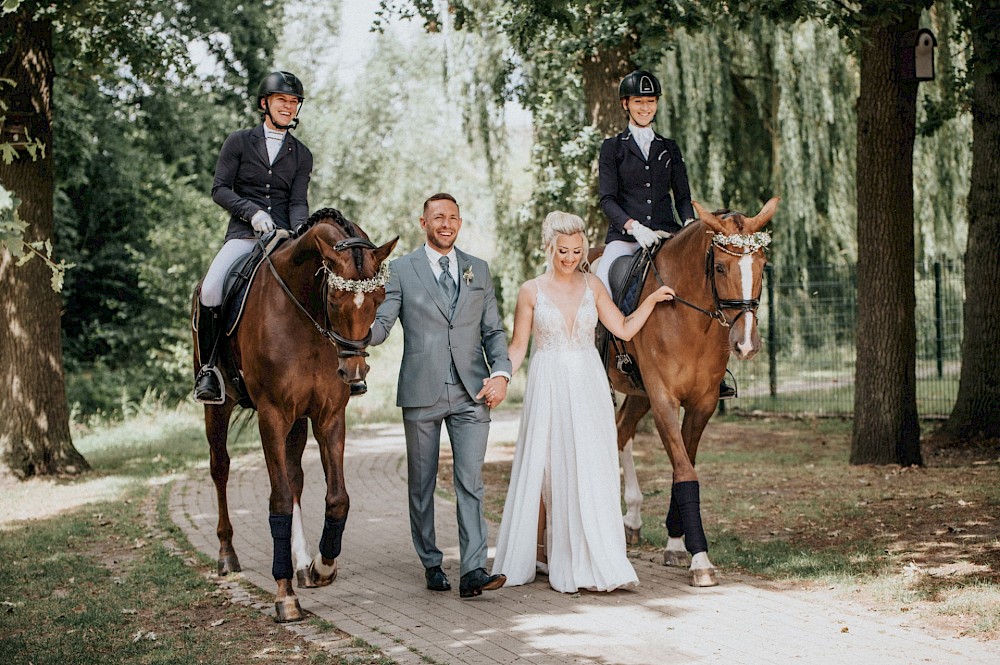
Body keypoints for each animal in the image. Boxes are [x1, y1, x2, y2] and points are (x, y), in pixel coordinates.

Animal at [193, 210, 396, 620]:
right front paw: (284, 595)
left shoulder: (329, 415)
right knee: (220, 468)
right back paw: (227, 554)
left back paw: (301, 563)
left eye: (379, 297)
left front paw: (322, 566)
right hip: (218, 407)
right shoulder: (272, 415)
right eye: (334, 296)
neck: (304, 313)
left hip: (298, 420)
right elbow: (280, 500)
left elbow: (337, 498)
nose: (353, 372)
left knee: (295, 476)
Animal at [600, 196, 772, 588]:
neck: (690, 317)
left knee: (620, 432)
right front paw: (700, 561)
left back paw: (631, 519)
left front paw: (678, 545)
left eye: (762, 265)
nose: (746, 344)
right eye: (720, 267)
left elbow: (684, 467)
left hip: (638, 395)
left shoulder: (702, 403)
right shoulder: (664, 398)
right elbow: (685, 471)